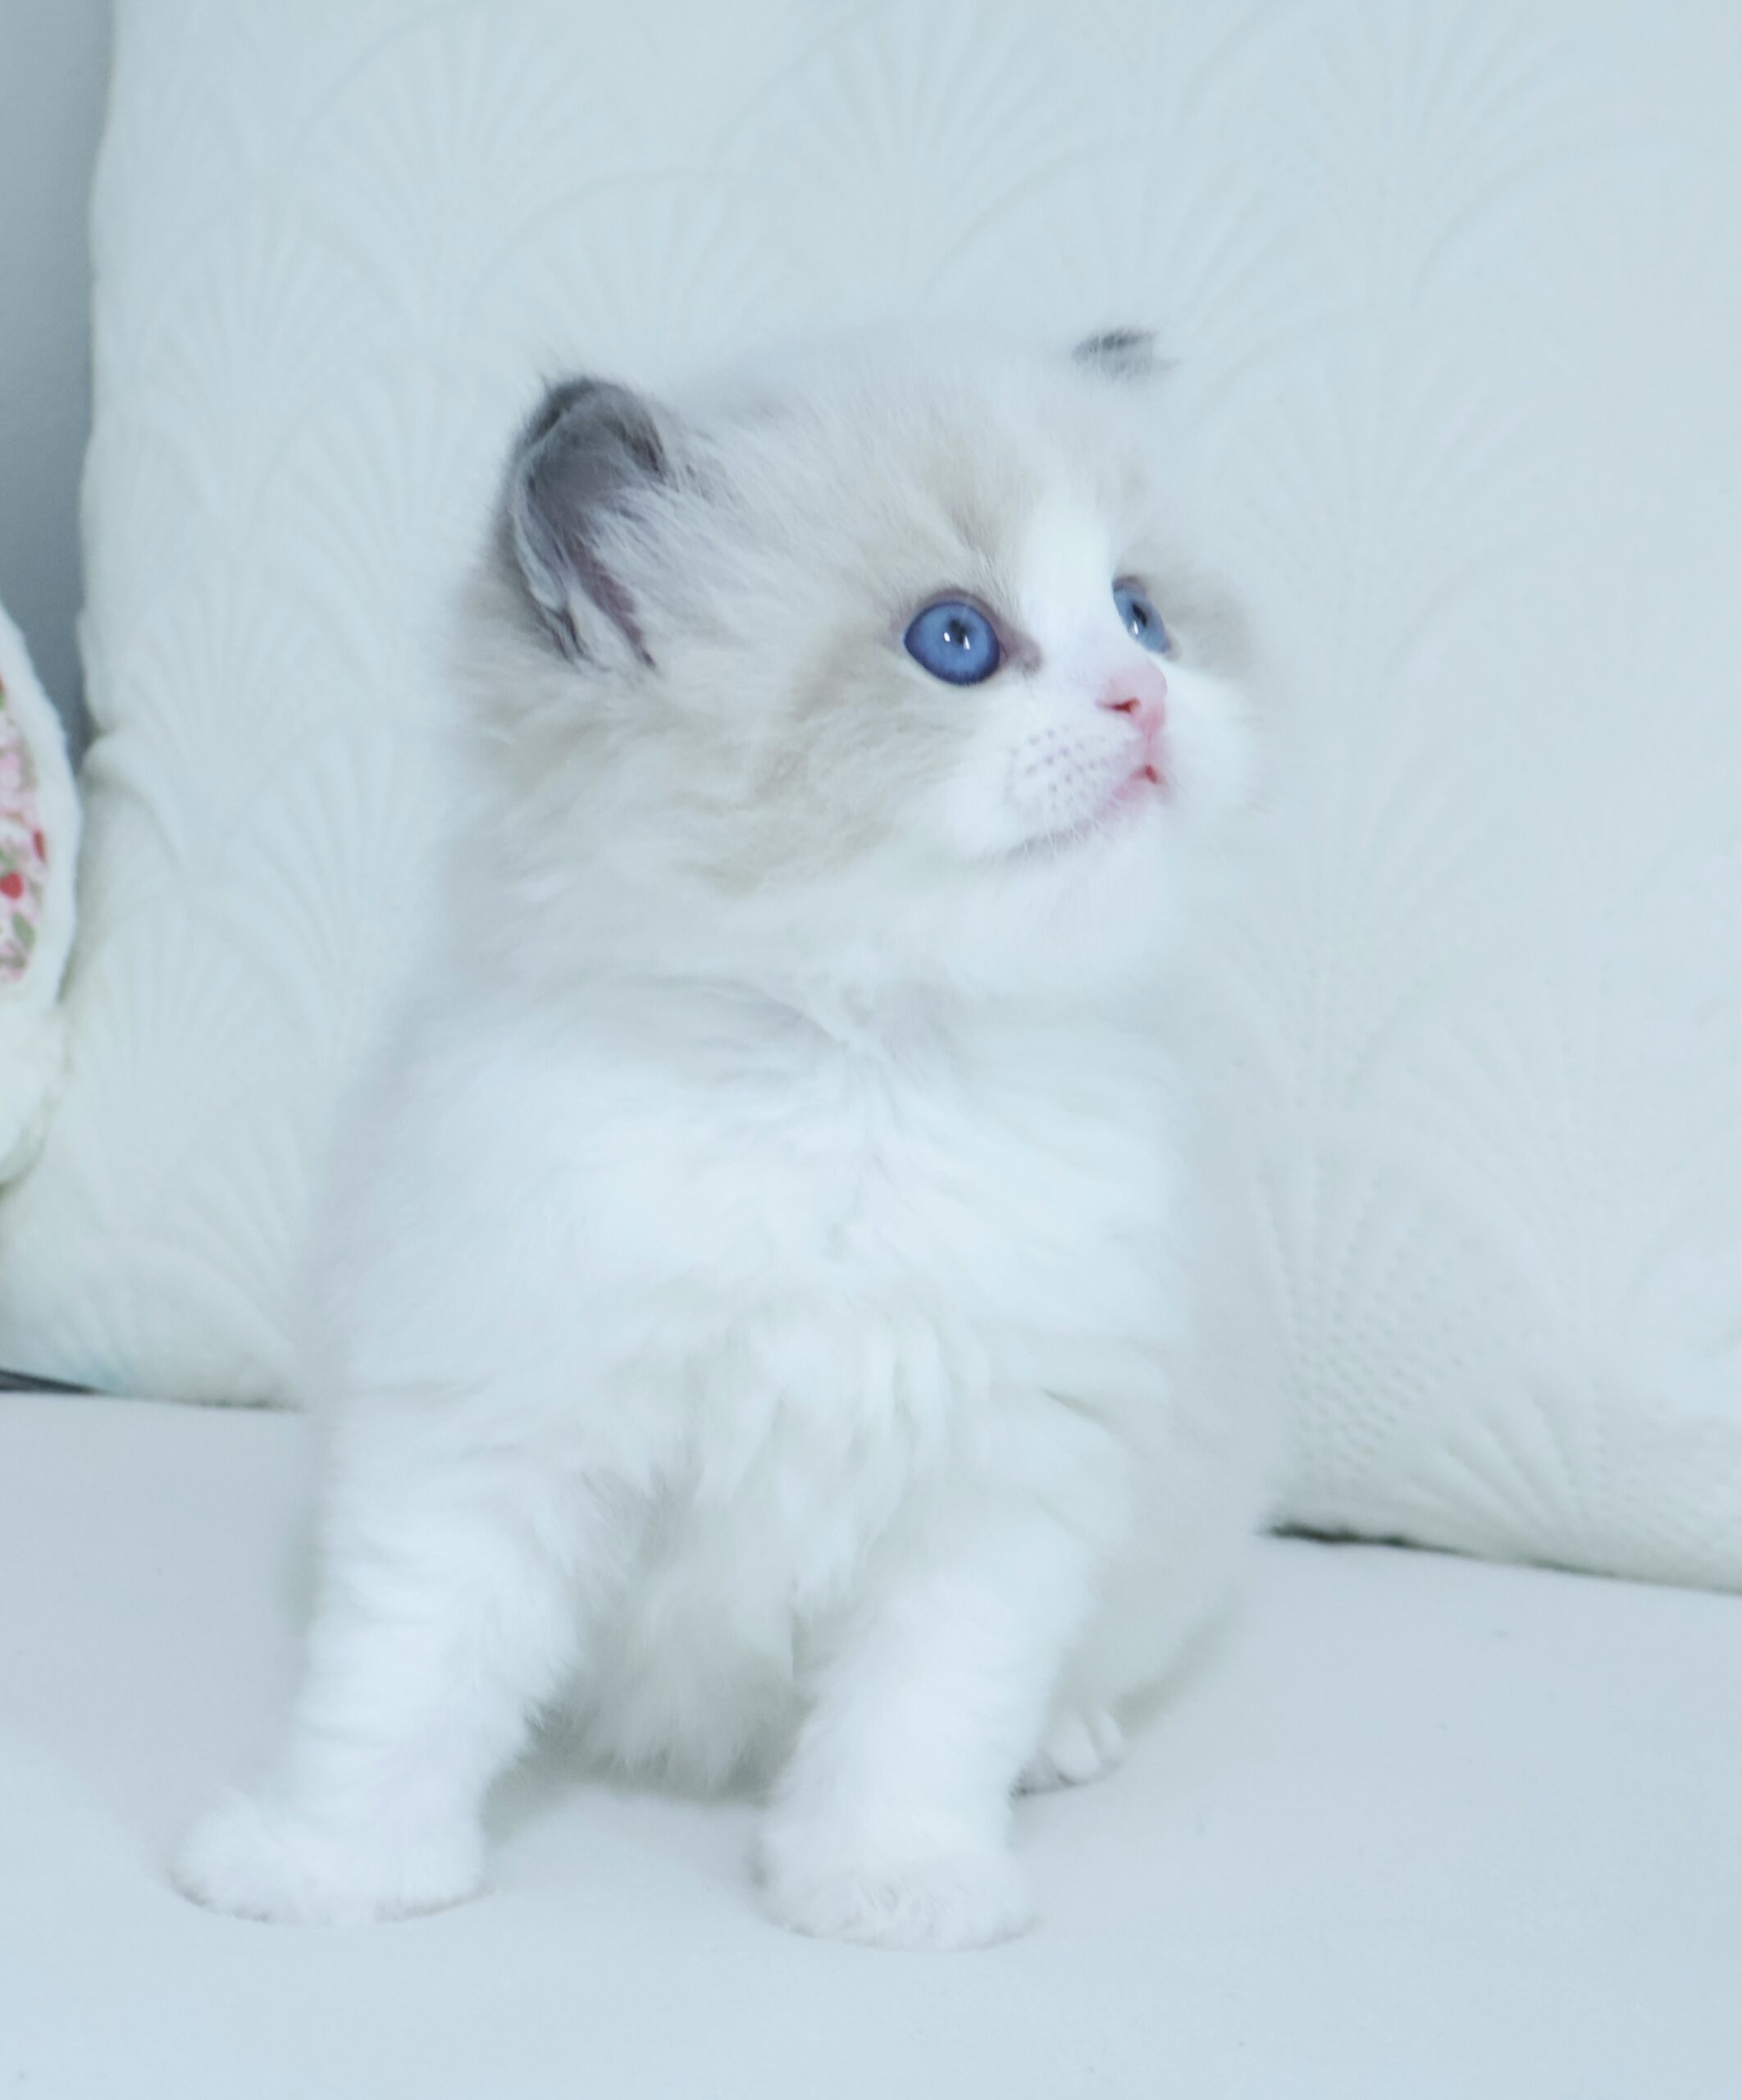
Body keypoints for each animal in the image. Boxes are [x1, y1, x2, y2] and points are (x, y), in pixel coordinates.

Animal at [175, 324, 1275, 1950]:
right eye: (957, 640)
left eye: (1143, 614)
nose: (1142, 697)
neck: (852, 1070)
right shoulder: (487, 1429)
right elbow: (402, 1681)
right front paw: (329, 1868)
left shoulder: (998, 1486)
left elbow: (921, 1716)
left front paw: (889, 1885)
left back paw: (1058, 1743)